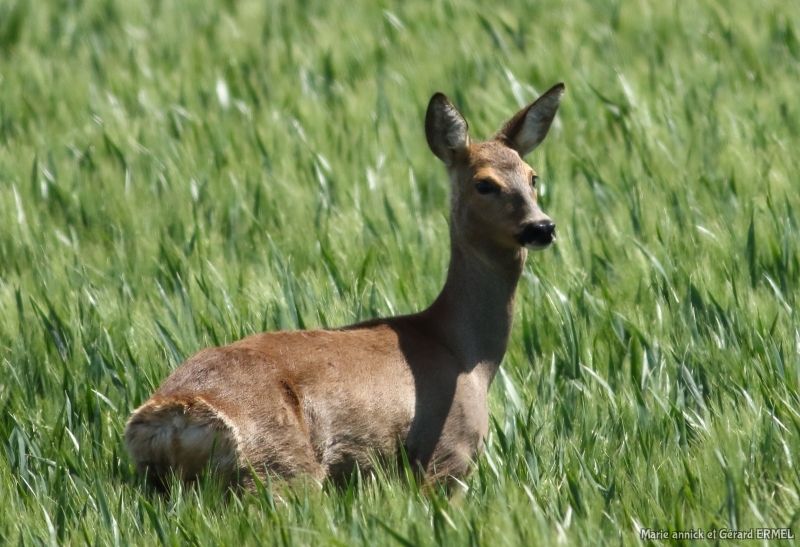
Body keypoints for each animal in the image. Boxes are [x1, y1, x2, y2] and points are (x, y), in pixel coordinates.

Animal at [123, 83, 564, 490]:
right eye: (484, 184)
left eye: (533, 177)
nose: (542, 226)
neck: (464, 353)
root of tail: (174, 414)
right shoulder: (445, 455)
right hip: (280, 466)